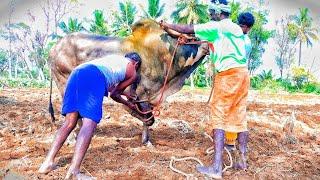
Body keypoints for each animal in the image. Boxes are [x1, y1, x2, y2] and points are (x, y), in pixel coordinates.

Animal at [48, 18, 206, 143]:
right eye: (193, 38)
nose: (207, 45)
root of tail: (54, 48)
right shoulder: (142, 93)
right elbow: (146, 118)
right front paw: (146, 141)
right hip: (64, 83)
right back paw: (72, 138)